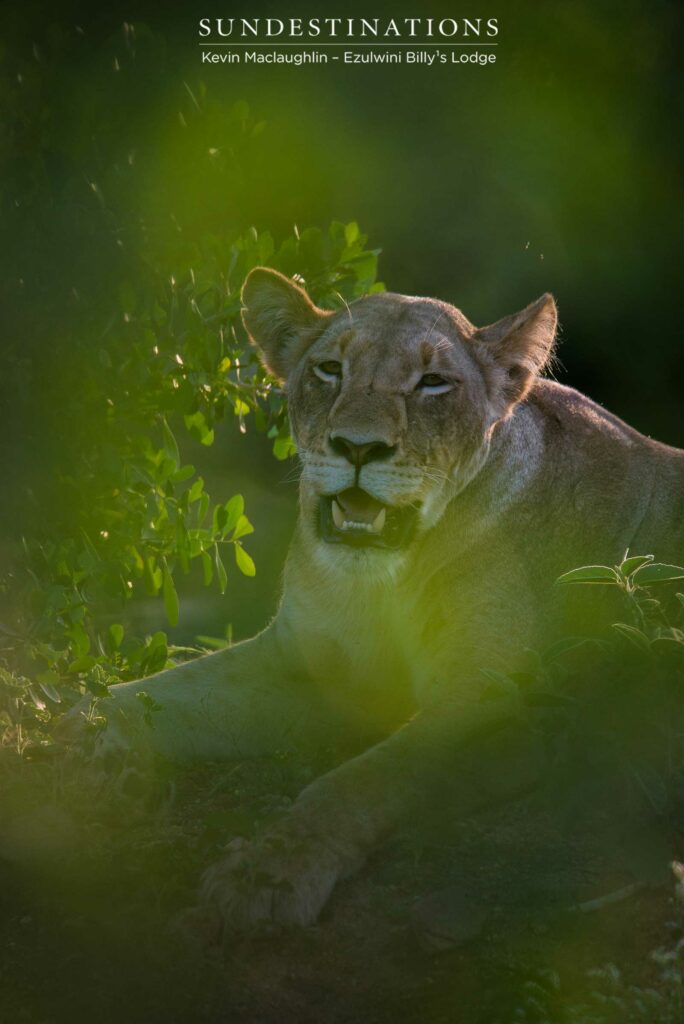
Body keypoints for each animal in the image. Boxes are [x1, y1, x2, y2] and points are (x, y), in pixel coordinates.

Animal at [59, 268, 684, 938]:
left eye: (433, 383)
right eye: (330, 369)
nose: (358, 448)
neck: (380, 586)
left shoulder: (500, 702)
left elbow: (363, 779)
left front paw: (268, 872)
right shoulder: (311, 672)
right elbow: (154, 694)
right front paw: (79, 746)